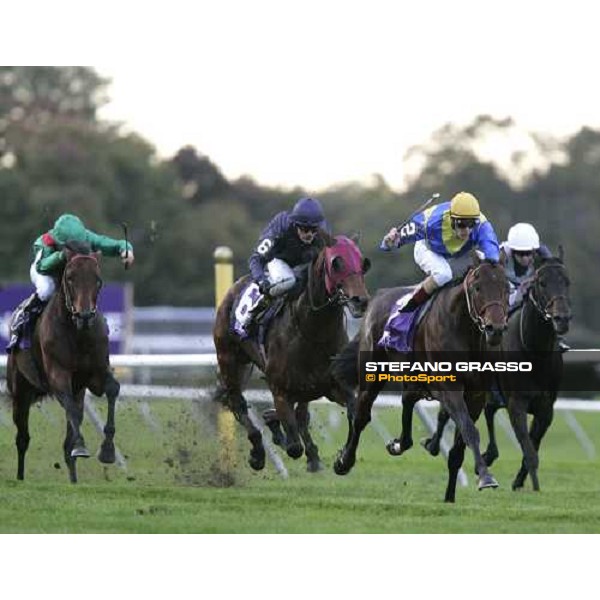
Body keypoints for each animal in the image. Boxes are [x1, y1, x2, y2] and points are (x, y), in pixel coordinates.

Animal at [7, 241, 120, 480]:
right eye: (69, 277)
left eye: (98, 279)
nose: (85, 315)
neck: (78, 334)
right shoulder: (58, 375)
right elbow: (69, 407)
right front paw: (81, 445)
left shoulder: (95, 374)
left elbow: (113, 388)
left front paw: (107, 450)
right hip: (20, 391)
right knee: (22, 439)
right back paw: (20, 479)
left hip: (78, 392)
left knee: (66, 444)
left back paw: (74, 480)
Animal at [213, 234, 368, 474]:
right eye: (336, 263)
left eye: (363, 263)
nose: (360, 300)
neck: (314, 334)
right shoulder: (279, 389)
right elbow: (294, 445)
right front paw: (281, 438)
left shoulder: (335, 385)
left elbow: (353, 415)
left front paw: (343, 460)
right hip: (229, 360)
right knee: (237, 403)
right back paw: (258, 452)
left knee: (299, 413)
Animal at [330, 253, 508, 502]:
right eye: (477, 287)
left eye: (506, 287)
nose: (495, 329)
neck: (464, 332)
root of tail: (378, 297)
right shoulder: (449, 387)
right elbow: (469, 430)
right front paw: (485, 476)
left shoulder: (476, 394)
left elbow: (459, 446)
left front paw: (450, 497)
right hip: (373, 373)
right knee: (361, 415)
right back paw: (344, 461)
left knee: (407, 401)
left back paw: (400, 444)